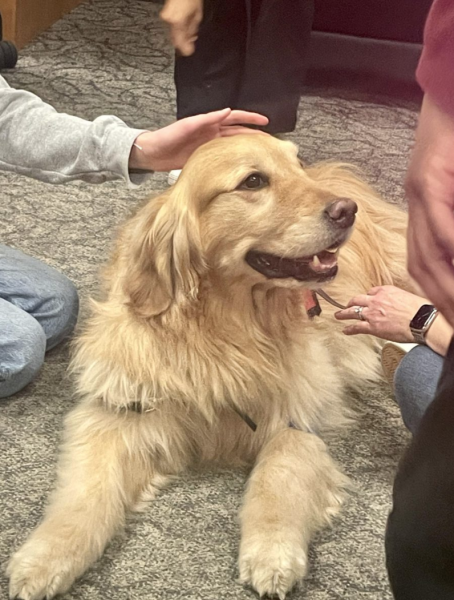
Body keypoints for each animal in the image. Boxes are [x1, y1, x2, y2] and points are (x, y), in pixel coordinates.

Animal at [7, 135, 412, 600]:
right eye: (253, 181)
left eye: (297, 165)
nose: (347, 211)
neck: (223, 329)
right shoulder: (117, 411)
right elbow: (85, 494)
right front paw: (44, 558)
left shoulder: (300, 415)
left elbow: (280, 471)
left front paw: (272, 552)